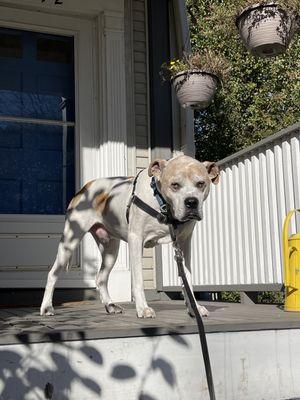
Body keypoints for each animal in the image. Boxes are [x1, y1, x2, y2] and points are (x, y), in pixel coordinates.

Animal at [39, 155, 219, 318]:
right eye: (175, 185)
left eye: (201, 184)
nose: (191, 202)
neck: (162, 205)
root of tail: (86, 187)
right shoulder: (136, 240)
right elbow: (138, 280)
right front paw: (143, 309)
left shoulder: (183, 244)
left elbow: (187, 278)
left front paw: (194, 308)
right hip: (69, 242)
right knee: (52, 274)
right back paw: (47, 307)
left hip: (111, 250)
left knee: (101, 278)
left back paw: (110, 305)